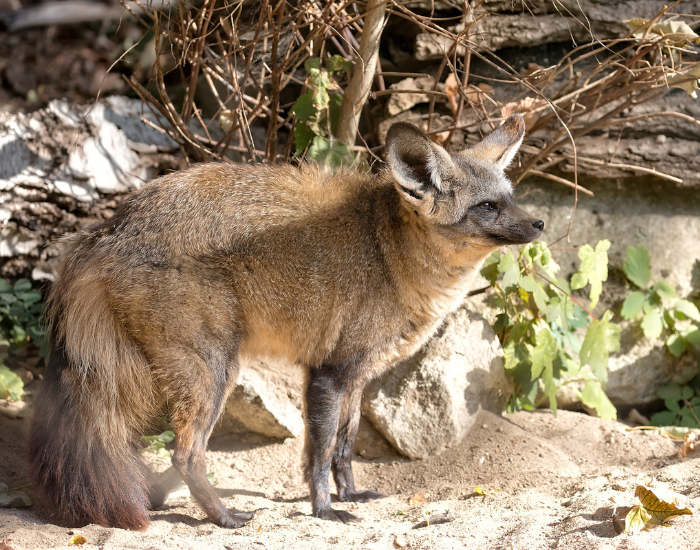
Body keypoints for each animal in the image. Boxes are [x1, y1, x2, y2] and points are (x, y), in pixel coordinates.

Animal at [29, 114, 543, 530]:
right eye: (488, 206)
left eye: (511, 198)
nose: (539, 224)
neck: (387, 252)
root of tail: (108, 228)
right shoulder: (327, 375)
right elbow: (318, 453)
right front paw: (325, 511)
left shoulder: (355, 375)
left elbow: (344, 446)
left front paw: (350, 494)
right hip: (216, 373)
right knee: (186, 455)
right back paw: (223, 518)